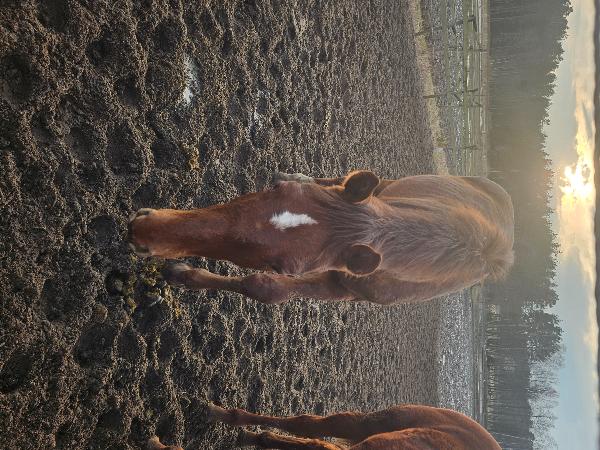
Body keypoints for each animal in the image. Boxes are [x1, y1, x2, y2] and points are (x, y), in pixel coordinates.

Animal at [128, 171, 514, 305]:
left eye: (282, 267)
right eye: (276, 189)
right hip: (391, 184)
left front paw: (182, 274)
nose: (144, 231)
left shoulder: (338, 286)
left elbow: (264, 289)